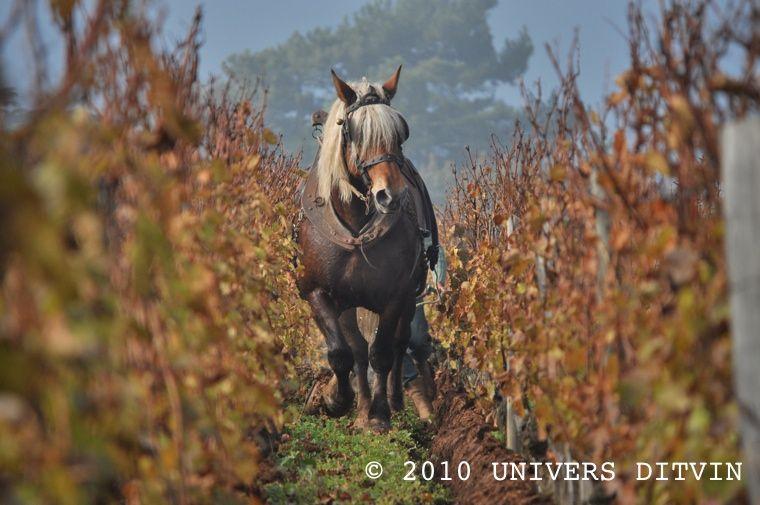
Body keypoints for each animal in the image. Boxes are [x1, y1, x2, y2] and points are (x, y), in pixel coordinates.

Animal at [296, 65, 440, 432]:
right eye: (355, 132)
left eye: (401, 132)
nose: (391, 195)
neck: (356, 226)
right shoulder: (318, 291)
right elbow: (341, 352)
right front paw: (336, 400)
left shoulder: (395, 295)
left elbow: (383, 353)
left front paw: (380, 415)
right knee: (358, 350)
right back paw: (359, 407)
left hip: (410, 297)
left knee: (399, 345)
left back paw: (393, 401)